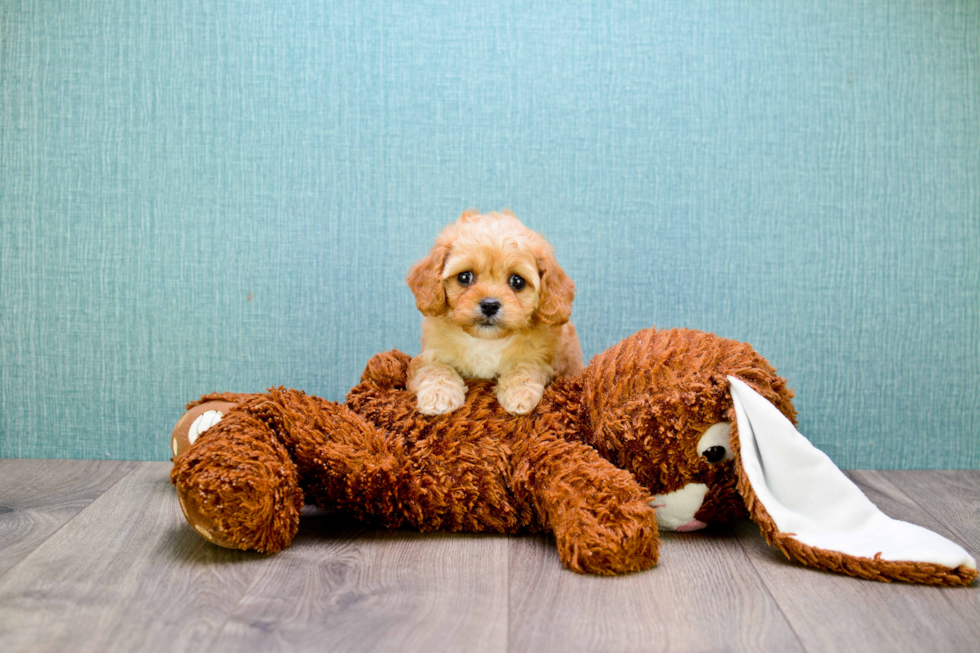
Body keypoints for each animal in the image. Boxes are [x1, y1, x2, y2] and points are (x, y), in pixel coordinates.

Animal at [404, 211, 580, 416]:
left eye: (517, 281)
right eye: (464, 277)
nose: (489, 305)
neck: (486, 341)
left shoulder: (545, 360)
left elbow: (525, 366)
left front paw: (519, 394)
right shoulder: (427, 355)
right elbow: (435, 367)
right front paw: (439, 395)